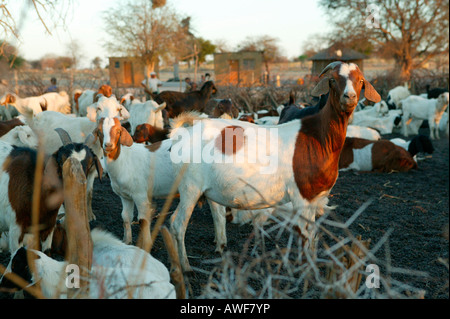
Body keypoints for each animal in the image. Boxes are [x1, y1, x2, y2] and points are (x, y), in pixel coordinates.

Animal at [168, 61, 380, 272]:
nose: (349, 97)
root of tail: (183, 133)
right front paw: (306, 270)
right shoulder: (301, 196)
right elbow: (305, 236)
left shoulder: (314, 197)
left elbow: (312, 234)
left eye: (361, 81)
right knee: (178, 225)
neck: (319, 138)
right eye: (333, 80)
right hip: (190, 186)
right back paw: (185, 266)